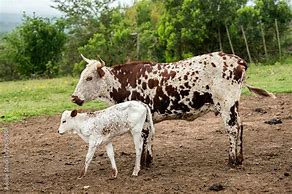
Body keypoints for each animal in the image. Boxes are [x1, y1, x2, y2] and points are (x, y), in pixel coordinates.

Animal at [72, 51, 274, 167]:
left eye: (89, 77)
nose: (74, 97)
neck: (124, 82)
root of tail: (237, 60)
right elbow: (149, 138)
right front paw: (148, 161)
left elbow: (143, 139)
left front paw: (143, 163)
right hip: (233, 106)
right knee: (240, 126)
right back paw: (239, 159)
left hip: (227, 104)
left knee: (232, 129)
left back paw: (232, 161)